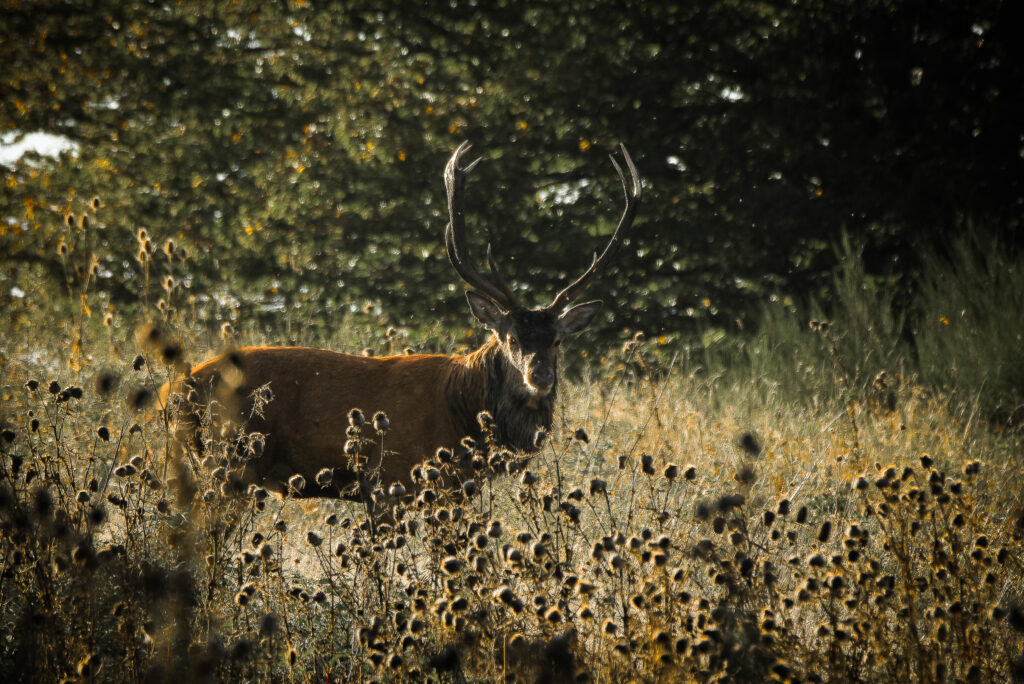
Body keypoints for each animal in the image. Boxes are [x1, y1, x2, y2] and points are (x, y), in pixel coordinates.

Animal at [162, 141, 641, 500]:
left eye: (556, 340)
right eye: (508, 338)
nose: (539, 375)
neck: (461, 414)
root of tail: (174, 391)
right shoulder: (389, 480)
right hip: (230, 460)